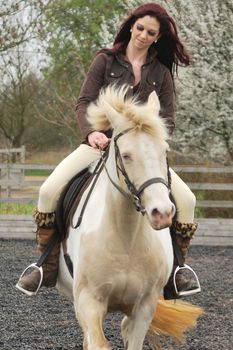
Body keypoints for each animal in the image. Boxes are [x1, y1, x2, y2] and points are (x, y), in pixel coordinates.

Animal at [57, 85, 204, 350]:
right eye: (125, 155)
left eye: (164, 151)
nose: (162, 213)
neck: (126, 239)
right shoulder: (88, 303)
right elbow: (97, 342)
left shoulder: (144, 307)